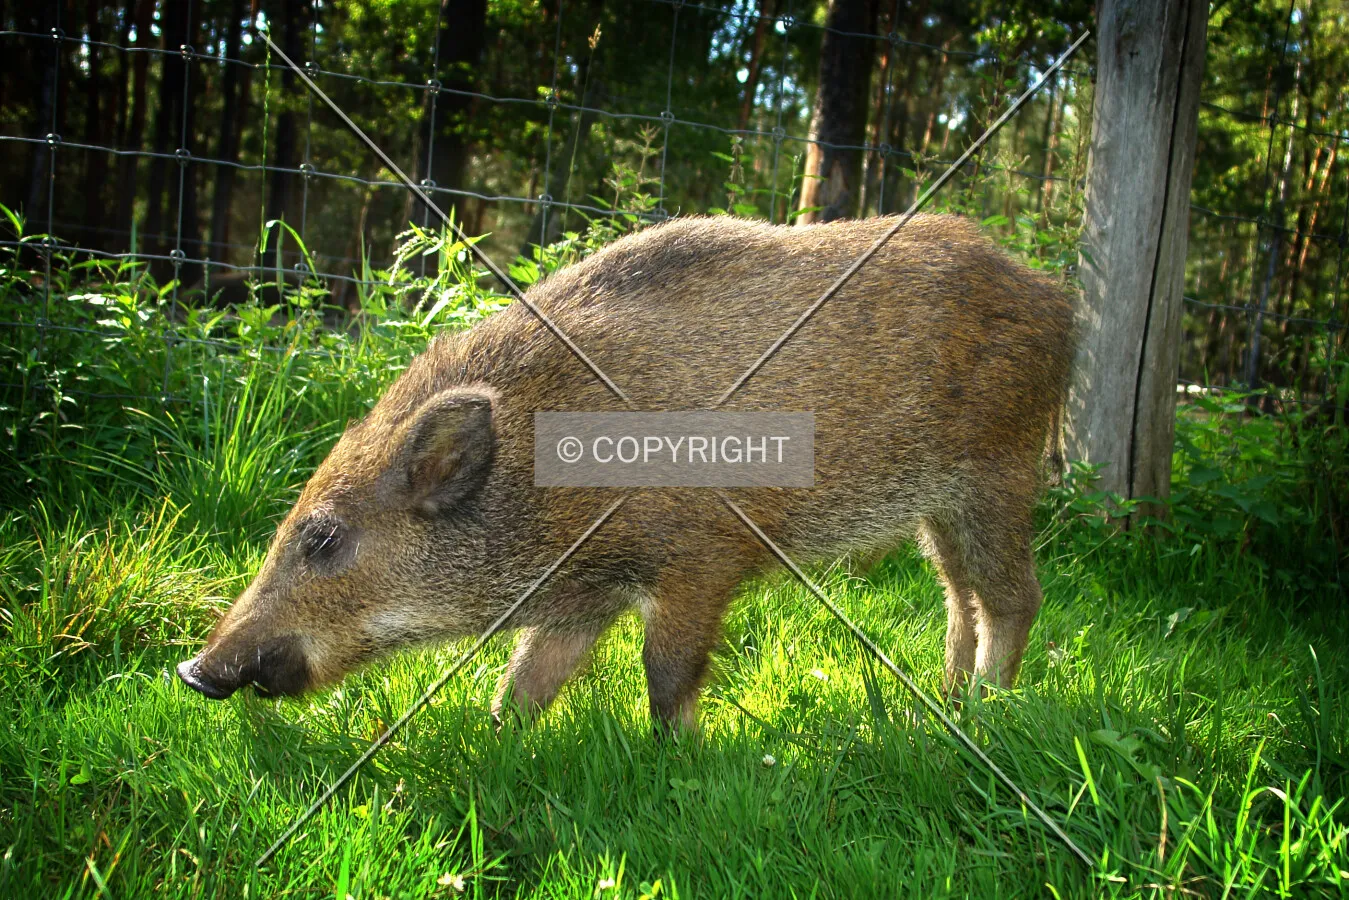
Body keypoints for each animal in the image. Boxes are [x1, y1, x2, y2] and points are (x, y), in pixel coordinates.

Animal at [176, 214, 1076, 732]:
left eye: (324, 538)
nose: (193, 669)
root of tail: (1055, 296)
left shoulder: (698, 565)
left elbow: (665, 677)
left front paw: (677, 761)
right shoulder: (585, 598)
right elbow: (524, 684)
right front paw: (496, 746)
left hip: (996, 474)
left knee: (1012, 597)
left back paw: (987, 713)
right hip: (934, 508)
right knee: (959, 600)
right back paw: (945, 708)